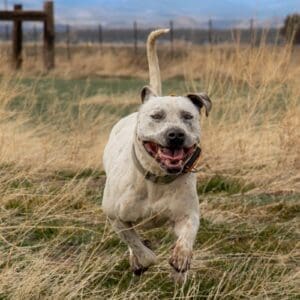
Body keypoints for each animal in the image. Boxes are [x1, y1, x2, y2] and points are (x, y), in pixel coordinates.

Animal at [102, 29, 212, 278]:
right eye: (157, 116)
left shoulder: (187, 214)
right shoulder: (115, 216)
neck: (156, 179)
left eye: (188, 116)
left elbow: (187, 234)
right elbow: (135, 244)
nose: (176, 134)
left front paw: (181, 258)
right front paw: (142, 258)